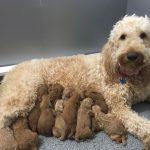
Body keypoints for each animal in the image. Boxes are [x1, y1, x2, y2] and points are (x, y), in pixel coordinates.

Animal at [0, 14, 150, 148]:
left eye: (143, 35)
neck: (130, 74)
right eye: (122, 36)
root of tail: (11, 71)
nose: (132, 55)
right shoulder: (119, 106)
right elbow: (138, 123)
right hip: (22, 96)